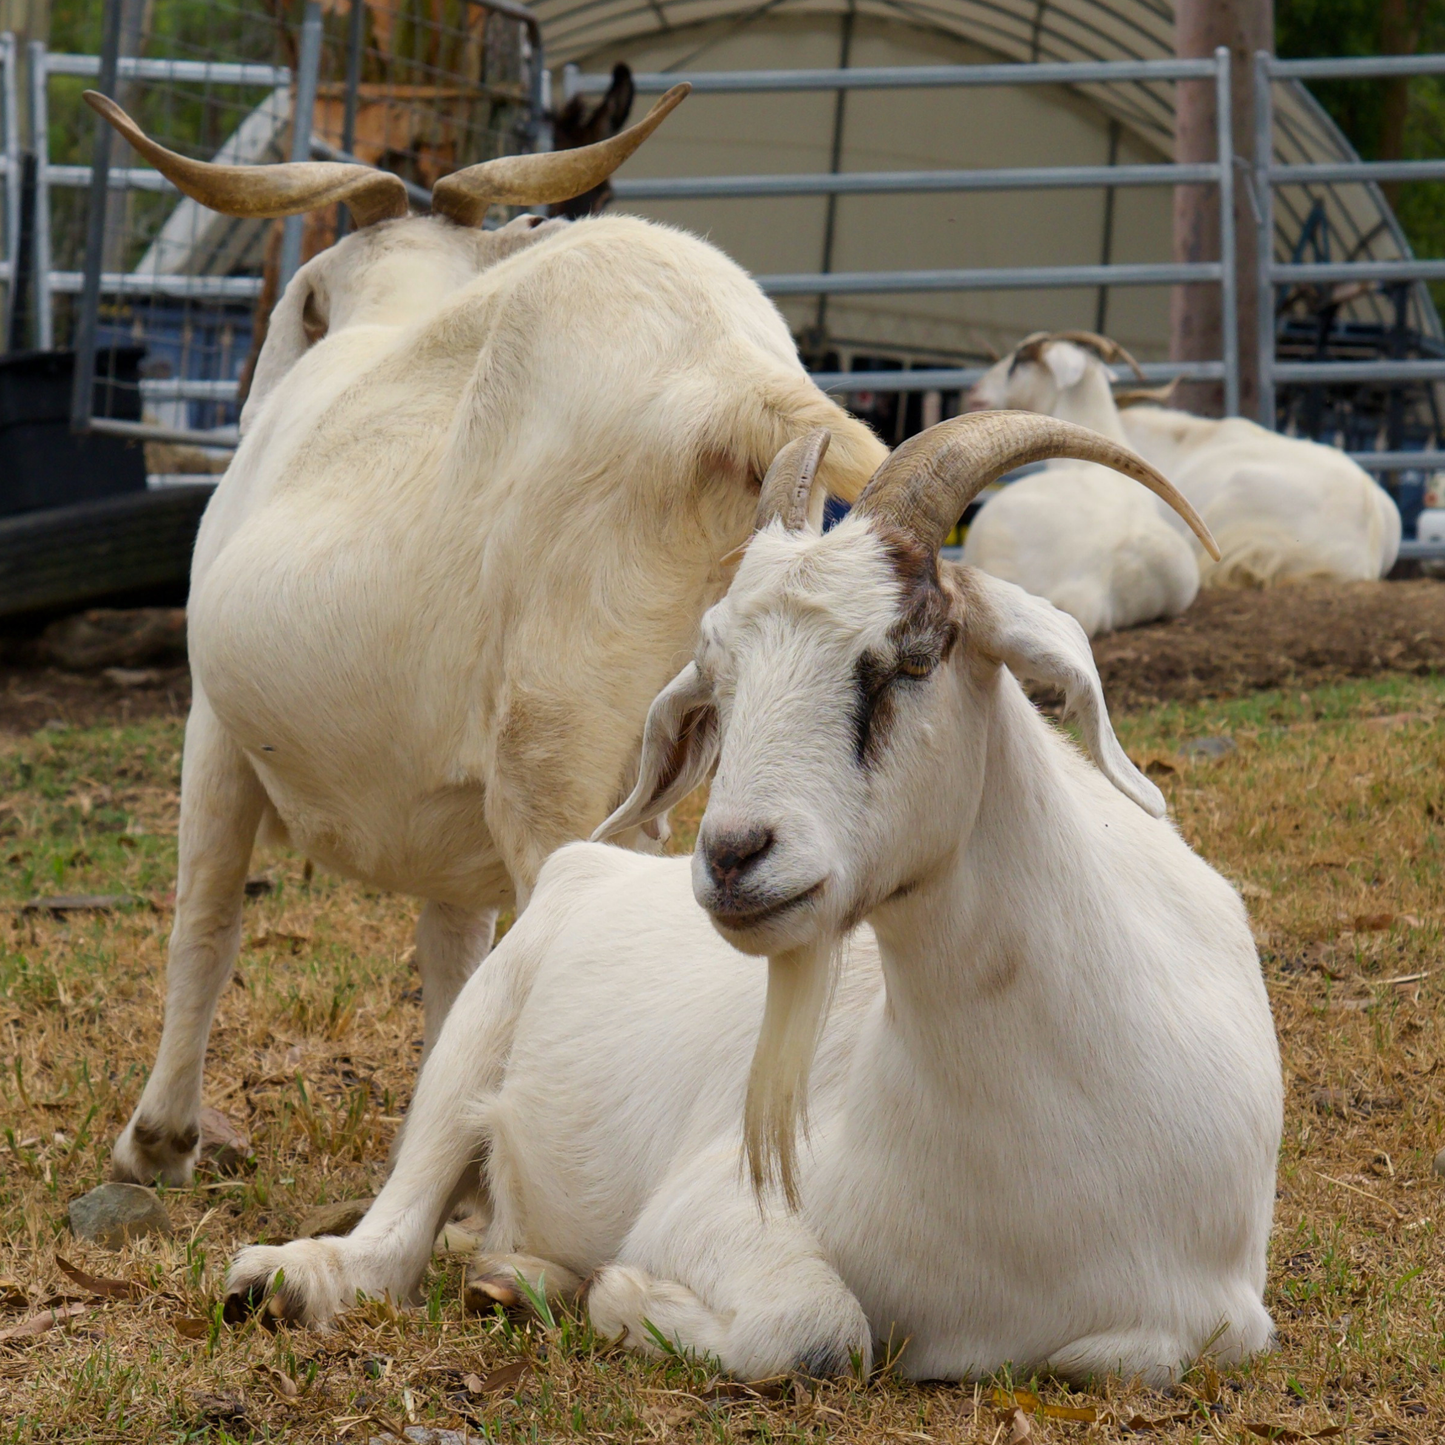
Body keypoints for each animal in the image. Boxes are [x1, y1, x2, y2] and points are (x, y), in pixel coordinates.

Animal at [83, 90, 888, 1189]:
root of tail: (724, 377)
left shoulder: (215, 725)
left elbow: (205, 918)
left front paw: (154, 1142)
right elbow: (452, 953)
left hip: (550, 756)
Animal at [222, 413, 1281, 1389]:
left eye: (912, 657)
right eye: (718, 684)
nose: (733, 854)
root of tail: (588, 868)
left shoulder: (1219, 1316)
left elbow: (1131, 1355)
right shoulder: (714, 1208)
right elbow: (823, 1328)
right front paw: (622, 1295)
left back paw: (515, 1278)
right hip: (474, 1031)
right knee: (393, 1236)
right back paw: (289, 1280)